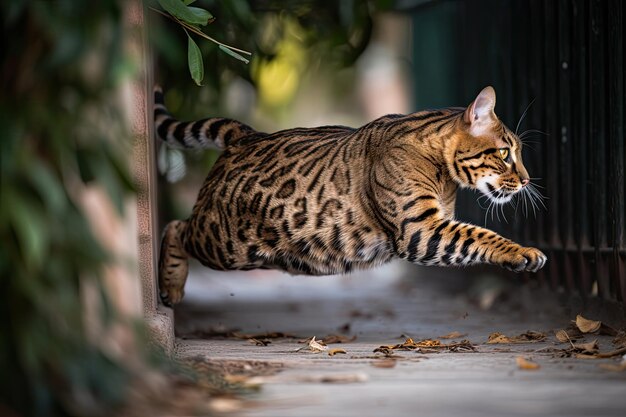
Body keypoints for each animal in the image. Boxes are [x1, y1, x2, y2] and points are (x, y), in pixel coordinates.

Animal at [155, 85, 544, 306]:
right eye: (505, 153)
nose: (527, 181)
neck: (442, 171)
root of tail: (246, 135)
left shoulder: (434, 226)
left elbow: (471, 239)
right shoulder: (418, 230)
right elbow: (480, 235)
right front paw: (522, 252)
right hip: (224, 241)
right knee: (174, 226)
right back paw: (170, 286)